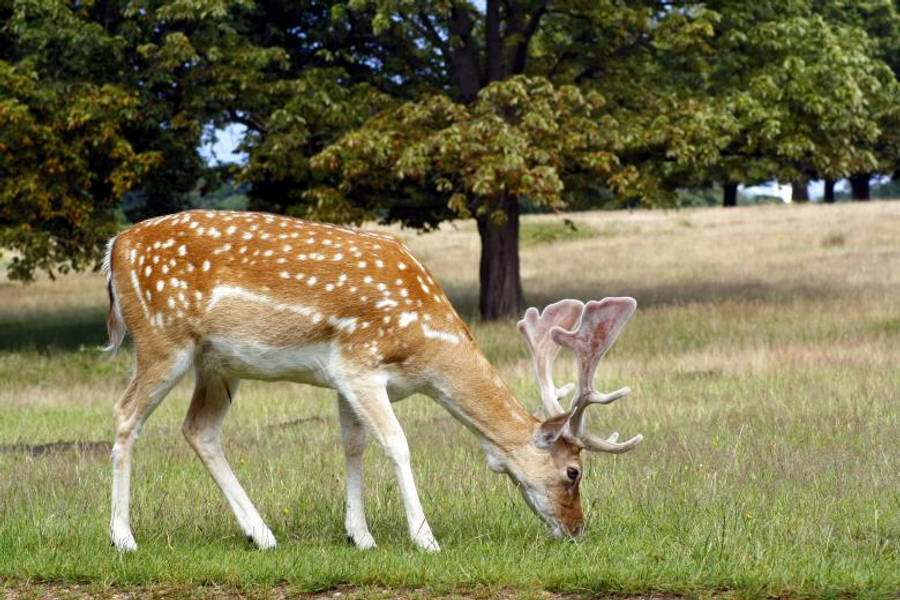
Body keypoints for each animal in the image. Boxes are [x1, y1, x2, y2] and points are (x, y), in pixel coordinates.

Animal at [102, 209, 642, 553]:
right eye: (574, 472)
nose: (577, 530)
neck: (424, 352)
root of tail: (114, 248)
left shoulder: (343, 377)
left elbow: (354, 444)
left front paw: (359, 536)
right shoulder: (358, 364)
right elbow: (397, 444)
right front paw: (425, 538)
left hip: (216, 364)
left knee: (199, 429)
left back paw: (262, 534)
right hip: (162, 339)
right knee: (126, 414)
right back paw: (124, 537)